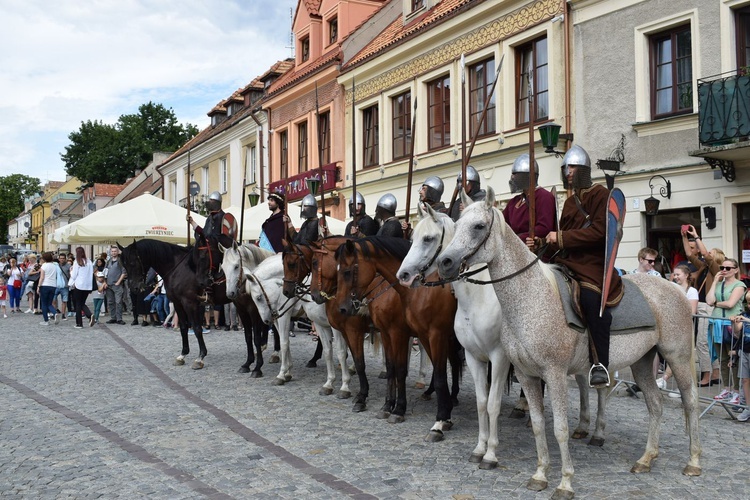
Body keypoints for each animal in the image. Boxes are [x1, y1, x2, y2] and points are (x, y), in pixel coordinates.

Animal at [238, 254, 352, 398]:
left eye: (258, 297)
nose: (266, 320)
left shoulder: (285, 316)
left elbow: (284, 343)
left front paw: (281, 374)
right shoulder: (280, 316)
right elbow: (285, 342)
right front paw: (287, 372)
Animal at [336, 235, 464, 442]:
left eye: (347, 272)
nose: (343, 308)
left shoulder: (404, 334)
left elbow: (403, 371)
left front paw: (400, 410)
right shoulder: (388, 333)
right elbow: (391, 368)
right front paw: (388, 406)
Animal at [438, 187, 704, 496]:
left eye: (479, 226)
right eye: (457, 225)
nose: (445, 262)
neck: (531, 297)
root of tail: (674, 287)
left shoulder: (553, 374)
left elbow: (560, 429)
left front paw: (565, 481)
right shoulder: (527, 376)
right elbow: (538, 425)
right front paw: (541, 474)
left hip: (677, 356)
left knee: (691, 401)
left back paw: (693, 461)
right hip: (641, 362)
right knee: (655, 404)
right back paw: (646, 459)